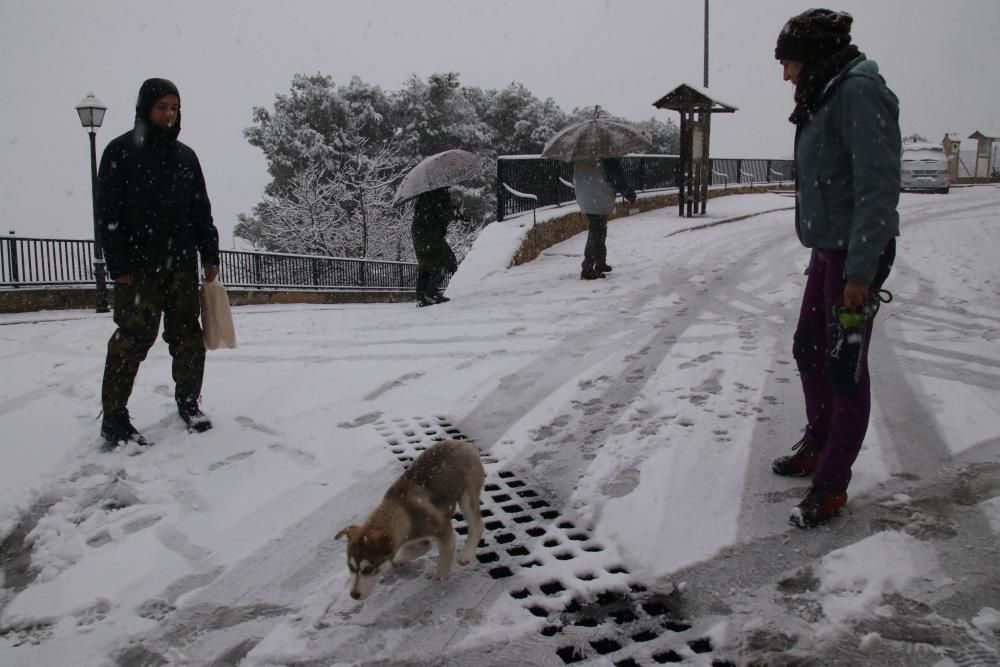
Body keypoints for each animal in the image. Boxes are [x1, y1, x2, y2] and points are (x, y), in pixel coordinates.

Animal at [338, 440, 486, 604]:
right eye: (350, 567)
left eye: (368, 569)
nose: (354, 595)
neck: (402, 510)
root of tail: (463, 443)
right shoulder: (415, 538)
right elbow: (418, 548)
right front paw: (398, 560)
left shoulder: (443, 529)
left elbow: (446, 554)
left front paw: (440, 575)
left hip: (467, 495)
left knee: (478, 524)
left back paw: (467, 554)